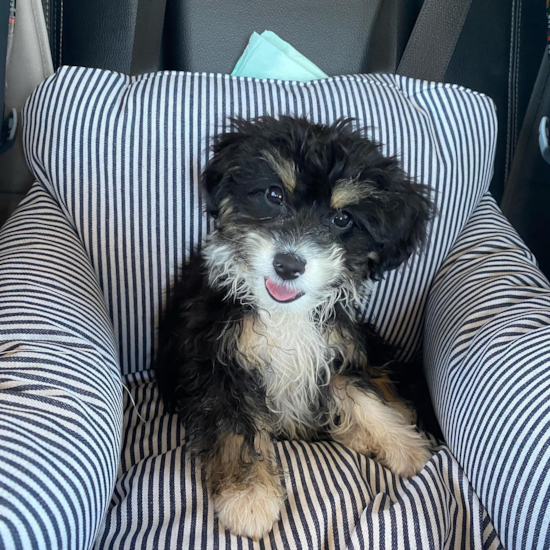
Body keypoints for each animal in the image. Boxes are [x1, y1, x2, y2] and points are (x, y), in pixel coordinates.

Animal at [154, 114, 436, 540]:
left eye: (342, 218)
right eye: (274, 195)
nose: (287, 265)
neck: (285, 311)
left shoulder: (333, 351)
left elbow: (363, 399)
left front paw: (405, 448)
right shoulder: (219, 361)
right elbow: (237, 428)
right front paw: (248, 496)